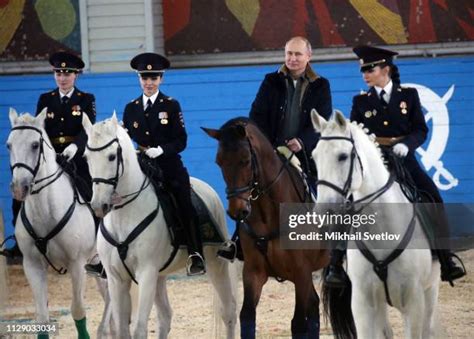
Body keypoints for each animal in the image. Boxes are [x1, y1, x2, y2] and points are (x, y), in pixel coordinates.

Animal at [6, 109, 112, 339]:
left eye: (35, 145)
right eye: (8, 145)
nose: (19, 188)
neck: (46, 212)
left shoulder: (77, 265)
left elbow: (78, 310)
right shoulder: (32, 265)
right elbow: (42, 318)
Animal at [82, 114, 237, 339]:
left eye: (111, 157)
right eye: (86, 157)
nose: (98, 206)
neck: (124, 215)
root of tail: (208, 190)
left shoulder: (146, 274)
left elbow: (139, 330)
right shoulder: (115, 277)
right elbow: (122, 330)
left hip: (216, 264)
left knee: (229, 311)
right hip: (160, 275)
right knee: (165, 316)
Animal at [203, 118, 330, 338]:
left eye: (245, 160)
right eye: (219, 162)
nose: (237, 211)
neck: (270, 214)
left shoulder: (301, 271)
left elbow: (298, 323)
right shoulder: (254, 272)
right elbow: (246, 315)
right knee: (314, 306)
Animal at [312, 111, 440, 339]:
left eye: (342, 156)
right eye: (314, 157)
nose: (323, 212)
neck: (381, 230)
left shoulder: (414, 302)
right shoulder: (363, 303)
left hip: (430, 291)